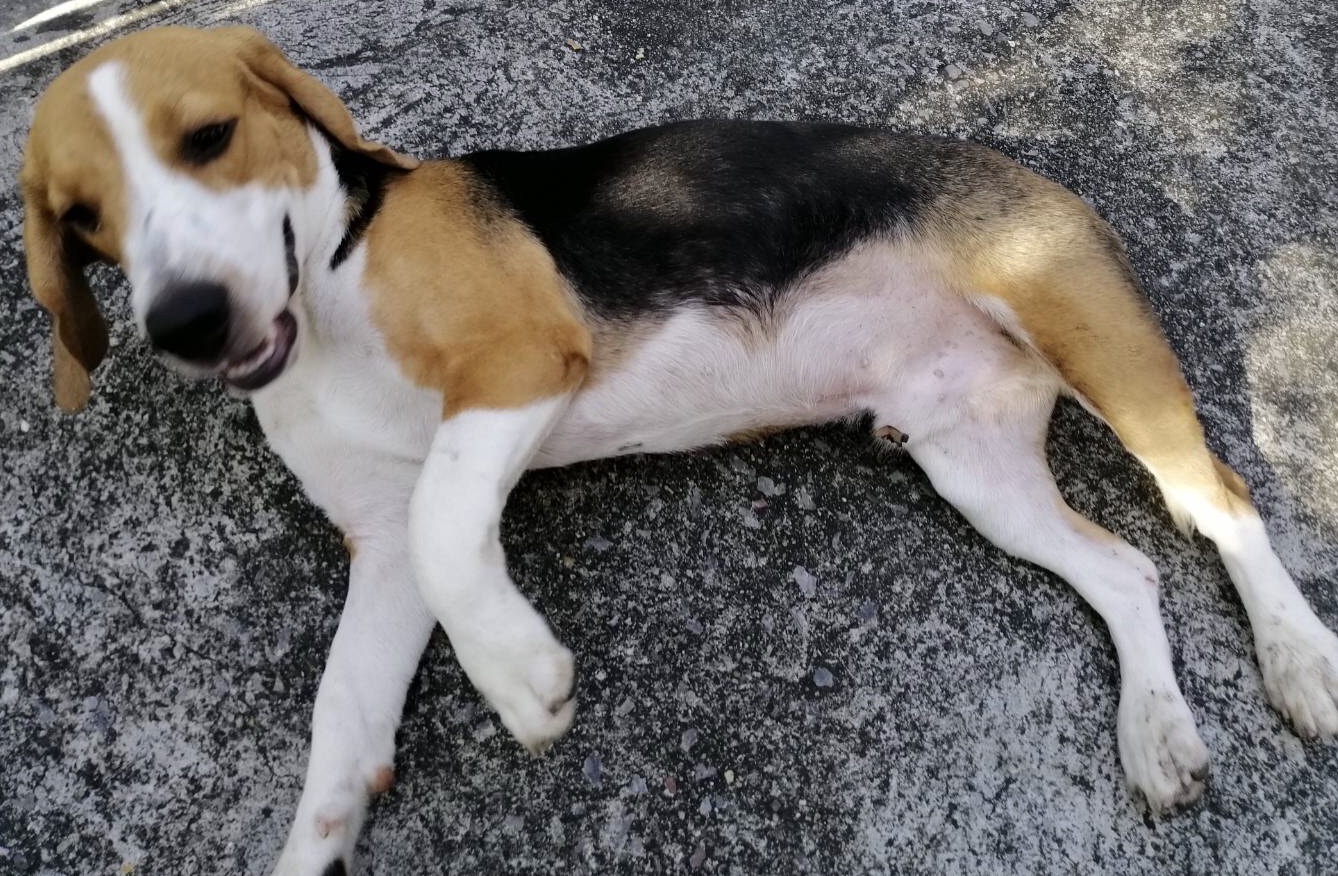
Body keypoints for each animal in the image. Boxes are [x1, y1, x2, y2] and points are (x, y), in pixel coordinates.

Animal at [20, 24, 1338, 875]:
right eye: (78, 218)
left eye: (210, 136)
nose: (186, 321)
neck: (332, 281)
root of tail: (1028, 166)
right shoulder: (382, 547)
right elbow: (344, 719)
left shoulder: (519, 367)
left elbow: (454, 527)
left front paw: (521, 675)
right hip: (974, 468)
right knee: (1129, 568)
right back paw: (1159, 735)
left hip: (1105, 356)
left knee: (1222, 503)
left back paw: (1300, 661)